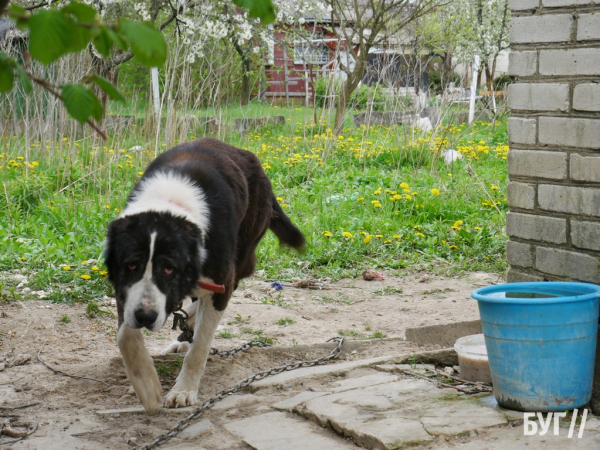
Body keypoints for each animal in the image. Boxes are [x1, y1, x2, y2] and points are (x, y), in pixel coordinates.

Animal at [102, 138, 304, 412]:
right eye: (131, 265)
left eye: (169, 269)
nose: (146, 317)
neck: (170, 204)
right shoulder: (126, 287)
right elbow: (125, 335)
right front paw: (146, 386)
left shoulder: (221, 280)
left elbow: (200, 348)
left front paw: (183, 390)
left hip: (242, 253)